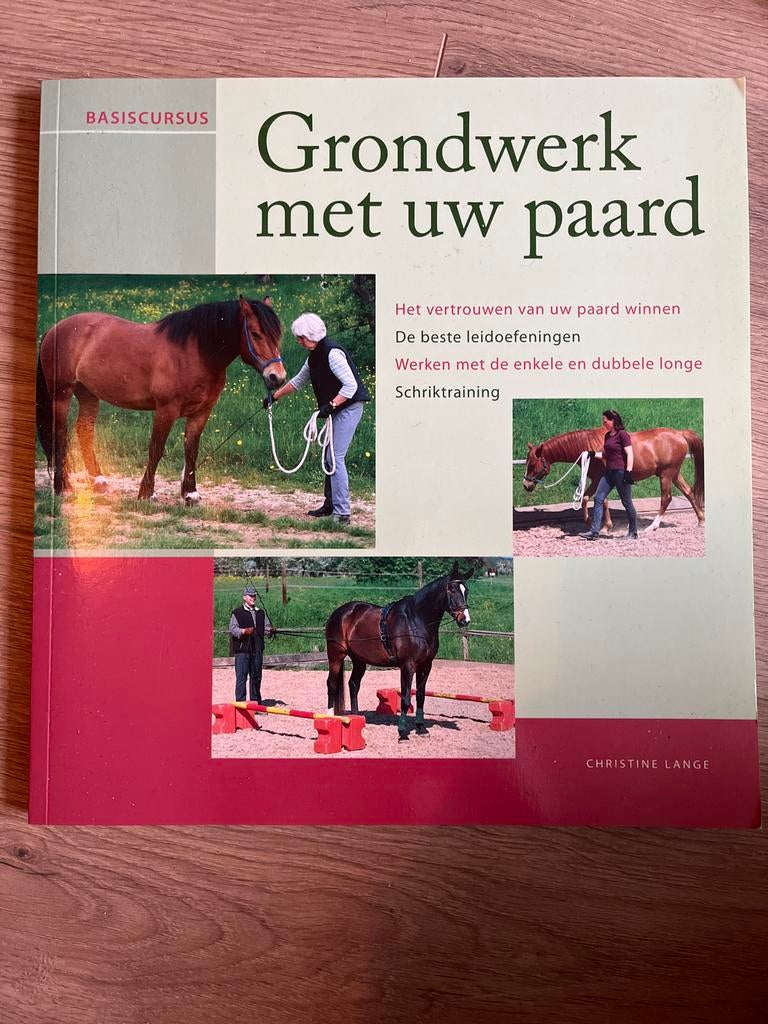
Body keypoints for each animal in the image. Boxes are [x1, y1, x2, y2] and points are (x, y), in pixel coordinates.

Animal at [36, 295, 286, 503]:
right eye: (255, 333)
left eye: (277, 335)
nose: (277, 377)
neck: (194, 353)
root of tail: (54, 329)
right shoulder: (166, 410)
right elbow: (156, 449)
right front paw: (146, 493)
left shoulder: (201, 413)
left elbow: (191, 449)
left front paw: (190, 493)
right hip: (62, 395)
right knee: (60, 434)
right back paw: (63, 488)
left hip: (88, 394)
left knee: (84, 430)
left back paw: (99, 481)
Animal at [325, 562, 473, 741]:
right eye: (451, 589)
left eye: (466, 590)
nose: (465, 620)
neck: (416, 621)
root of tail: (339, 612)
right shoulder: (407, 665)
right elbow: (405, 698)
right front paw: (402, 733)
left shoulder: (426, 665)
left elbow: (421, 696)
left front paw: (421, 728)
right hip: (336, 655)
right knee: (332, 684)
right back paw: (329, 718)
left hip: (359, 660)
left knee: (353, 684)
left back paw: (357, 718)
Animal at [522, 427, 705, 532]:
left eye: (532, 464)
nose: (526, 484)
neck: (590, 447)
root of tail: (680, 434)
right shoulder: (596, 479)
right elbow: (586, 498)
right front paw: (589, 522)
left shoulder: (601, 478)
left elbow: (602, 500)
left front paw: (606, 526)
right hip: (674, 474)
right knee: (689, 492)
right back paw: (701, 520)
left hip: (666, 475)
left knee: (666, 498)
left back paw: (652, 526)